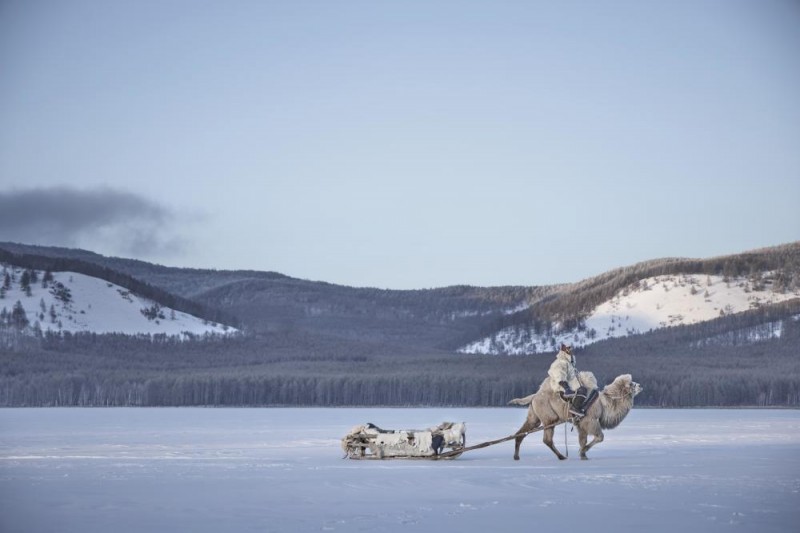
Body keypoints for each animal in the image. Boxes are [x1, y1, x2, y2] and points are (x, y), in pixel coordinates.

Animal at [512, 372, 644, 460]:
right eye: (631, 384)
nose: (640, 385)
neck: (604, 404)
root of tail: (534, 396)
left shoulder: (581, 424)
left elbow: (582, 440)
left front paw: (583, 454)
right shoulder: (590, 420)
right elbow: (600, 437)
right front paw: (583, 451)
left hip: (534, 415)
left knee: (522, 432)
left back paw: (516, 456)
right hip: (549, 417)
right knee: (547, 439)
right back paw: (561, 456)